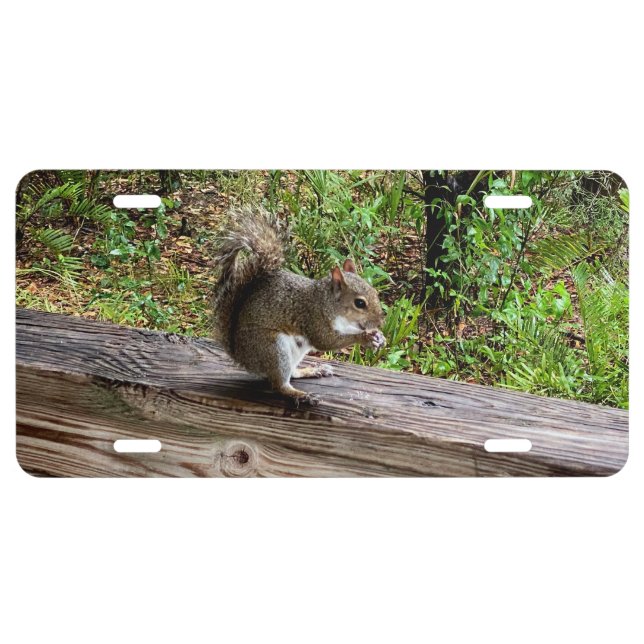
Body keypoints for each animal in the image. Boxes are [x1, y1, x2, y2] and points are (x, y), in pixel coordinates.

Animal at [212, 206, 386, 405]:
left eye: (375, 291)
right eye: (359, 303)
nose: (380, 322)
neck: (325, 302)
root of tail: (241, 356)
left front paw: (378, 337)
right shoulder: (313, 318)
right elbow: (326, 341)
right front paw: (365, 338)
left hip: (294, 352)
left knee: (292, 374)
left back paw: (312, 371)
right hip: (272, 349)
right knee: (279, 385)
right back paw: (301, 395)